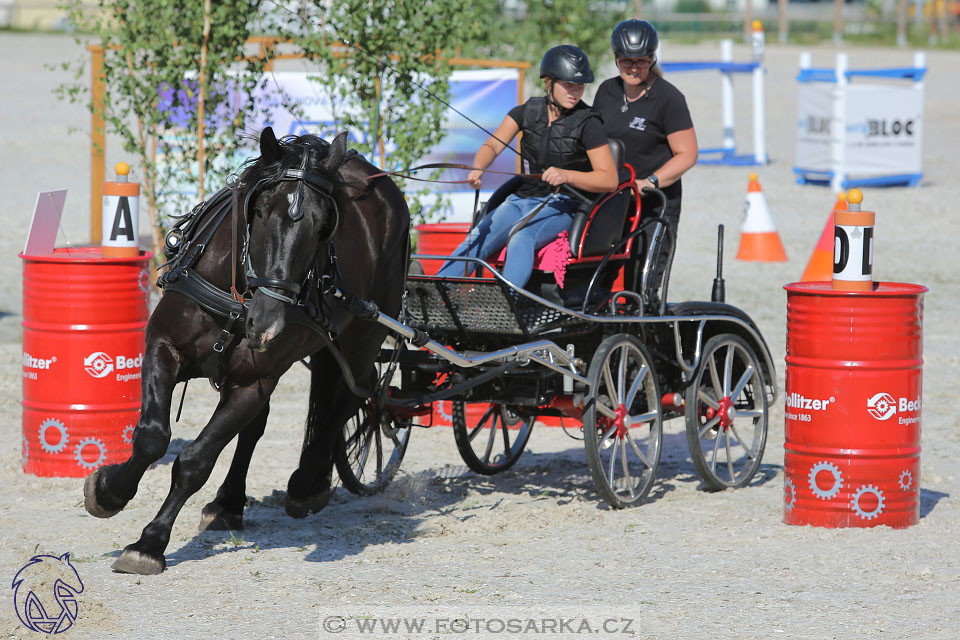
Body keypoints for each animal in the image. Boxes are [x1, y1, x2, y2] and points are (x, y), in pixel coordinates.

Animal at [82, 126, 408, 576]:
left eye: (323, 226)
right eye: (261, 211)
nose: (268, 321)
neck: (238, 300)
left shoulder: (252, 383)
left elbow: (195, 461)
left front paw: (150, 542)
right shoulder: (164, 347)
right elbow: (151, 437)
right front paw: (108, 491)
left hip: (363, 338)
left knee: (356, 396)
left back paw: (308, 483)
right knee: (262, 425)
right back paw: (228, 503)